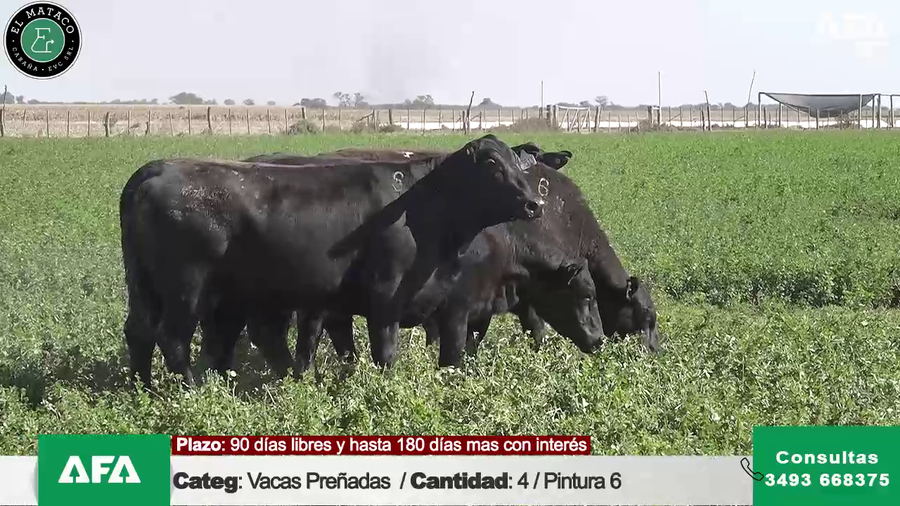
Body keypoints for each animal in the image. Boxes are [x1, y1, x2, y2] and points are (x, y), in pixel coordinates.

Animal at [119, 134, 543, 388]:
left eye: (519, 164)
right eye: (493, 165)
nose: (534, 204)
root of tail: (160, 168)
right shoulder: (385, 297)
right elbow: (385, 353)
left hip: (148, 287)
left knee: (139, 332)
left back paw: (143, 390)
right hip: (186, 289)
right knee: (172, 339)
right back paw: (193, 391)